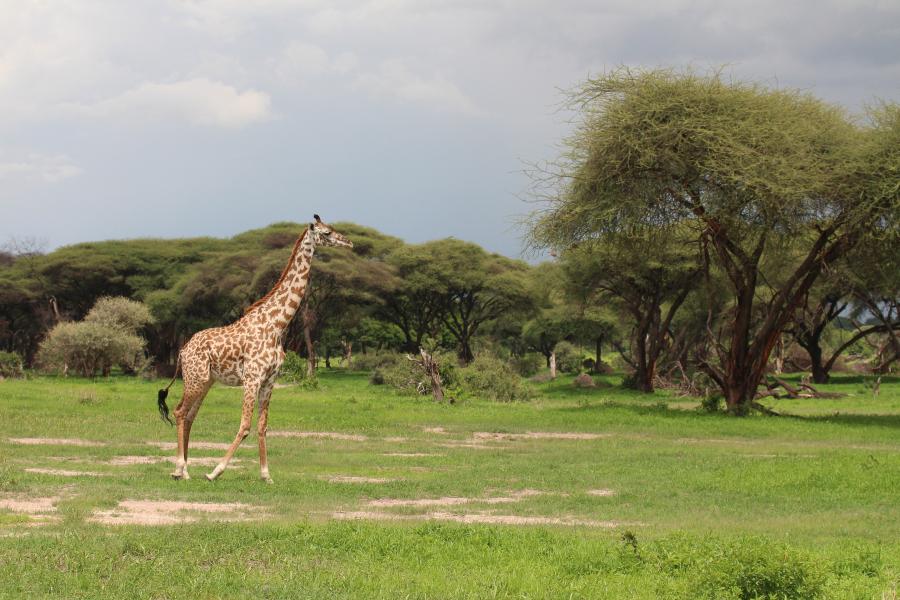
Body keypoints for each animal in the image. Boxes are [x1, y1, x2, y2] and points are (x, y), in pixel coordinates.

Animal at [155, 216, 352, 482]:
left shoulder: (269, 380)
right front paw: (215, 471)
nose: (349, 242)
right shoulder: (252, 377)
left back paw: (185, 468)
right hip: (196, 378)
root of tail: (183, 351)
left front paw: (266, 475)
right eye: (327, 232)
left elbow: (262, 426)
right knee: (179, 412)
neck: (277, 324)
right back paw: (179, 469)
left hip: (206, 381)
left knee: (189, 416)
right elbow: (245, 425)